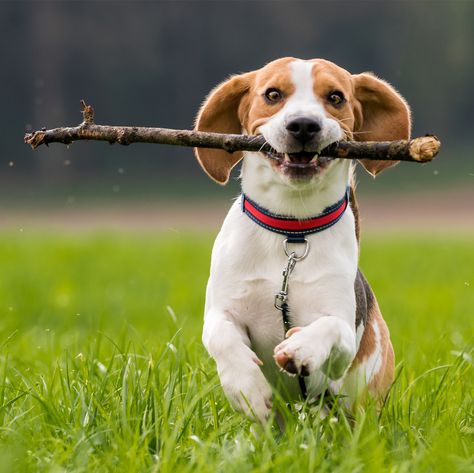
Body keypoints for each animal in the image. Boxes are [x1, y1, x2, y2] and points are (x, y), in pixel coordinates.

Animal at [193, 57, 412, 422]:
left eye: (336, 97)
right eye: (272, 94)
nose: (304, 125)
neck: (291, 233)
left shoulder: (342, 339)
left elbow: (330, 328)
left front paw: (300, 347)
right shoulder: (221, 311)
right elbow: (221, 336)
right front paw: (247, 388)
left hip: (360, 399)